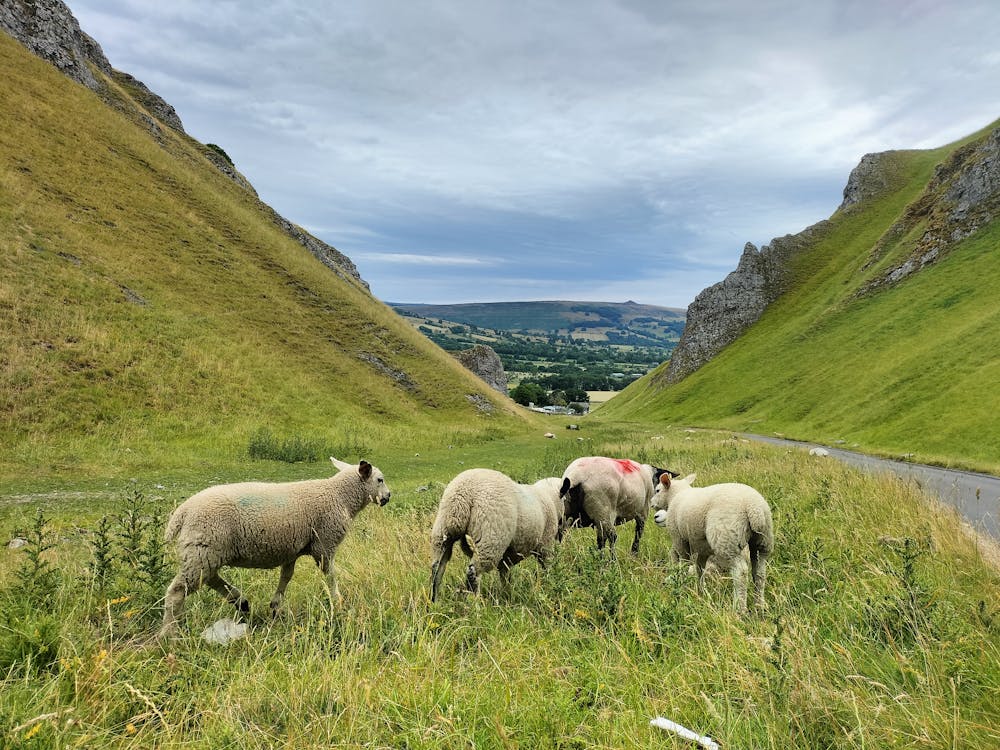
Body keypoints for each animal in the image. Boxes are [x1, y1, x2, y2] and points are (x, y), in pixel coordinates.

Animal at [159, 456, 390, 636]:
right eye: (380, 479)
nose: (388, 497)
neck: (340, 496)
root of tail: (182, 512)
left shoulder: (293, 550)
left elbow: (286, 577)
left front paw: (275, 607)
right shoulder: (325, 544)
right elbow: (330, 576)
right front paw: (338, 602)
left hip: (205, 552)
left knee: (209, 579)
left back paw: (239, 601)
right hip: (203, 550)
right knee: (177, 591)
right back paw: (169, 634)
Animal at [428, 468, 564, 604]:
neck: (550, 497)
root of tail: (463, 496)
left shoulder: (506, 559)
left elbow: (505, 576)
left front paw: (506, 595)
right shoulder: (545, 544)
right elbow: (546, 565)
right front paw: (549, 582)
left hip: (442, 533)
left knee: (437, 568)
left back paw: (434, 601)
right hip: (490, 539)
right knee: (473, 573)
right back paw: (476, 604)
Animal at [652, 472, 776, 612]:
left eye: (657, 490)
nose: (652, 505)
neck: (676, 496)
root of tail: (754, 509)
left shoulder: (679, 539)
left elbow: (683, 564)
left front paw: (682, 587)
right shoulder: (702, 548)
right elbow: (700, 569)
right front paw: (701, 592)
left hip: (728, 538)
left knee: (740, 573)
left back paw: (739, 608)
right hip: (762, 540)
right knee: (759, 573)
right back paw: (759, 606)